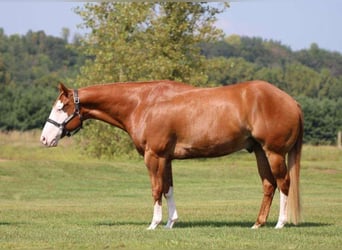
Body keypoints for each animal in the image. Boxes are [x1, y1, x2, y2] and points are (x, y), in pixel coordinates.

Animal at [40, 79, 302, 229]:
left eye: (62, 108)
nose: (44, 139)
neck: (142, 104)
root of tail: (292, 101)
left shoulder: (153, 156)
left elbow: (156, 189)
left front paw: (154, 224)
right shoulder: (166, 158)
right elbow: (168, 189)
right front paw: (169, 223)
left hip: (274, 153)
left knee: (284, 183)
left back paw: (280, 223)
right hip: (259, 152)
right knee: (269, 185)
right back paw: (258, 223)